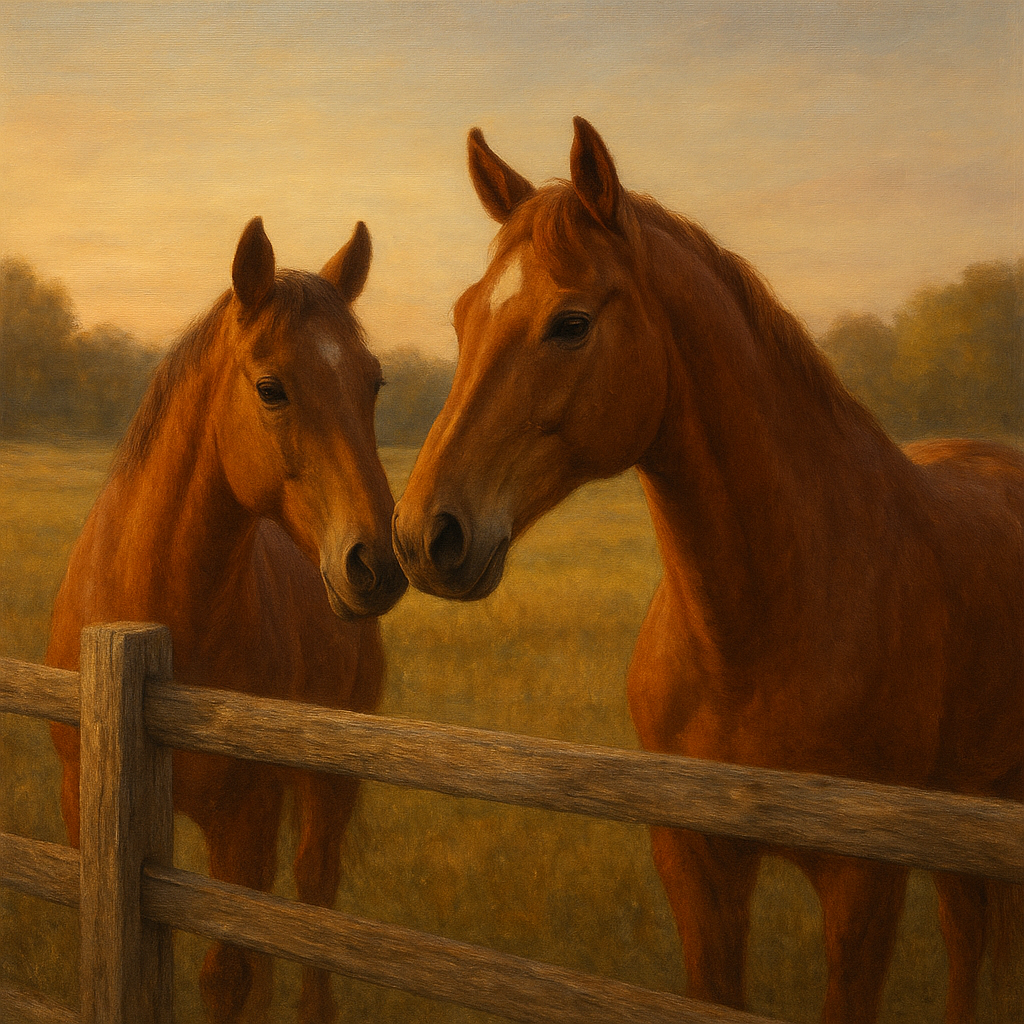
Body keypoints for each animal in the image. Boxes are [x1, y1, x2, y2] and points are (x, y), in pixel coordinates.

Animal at [46, 216, 407, 1023]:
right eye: (270, 388)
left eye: (373, 382)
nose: (380, 563)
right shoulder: (85, 806)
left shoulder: (242, 815)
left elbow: (227, 971)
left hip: (325, 783)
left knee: (311, 903)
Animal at [392, 119, 1024, 1023]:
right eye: (462, 316)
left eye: (571, 322)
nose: (423, 535)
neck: (761, 628)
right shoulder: (696, 859)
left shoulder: (864, 881)